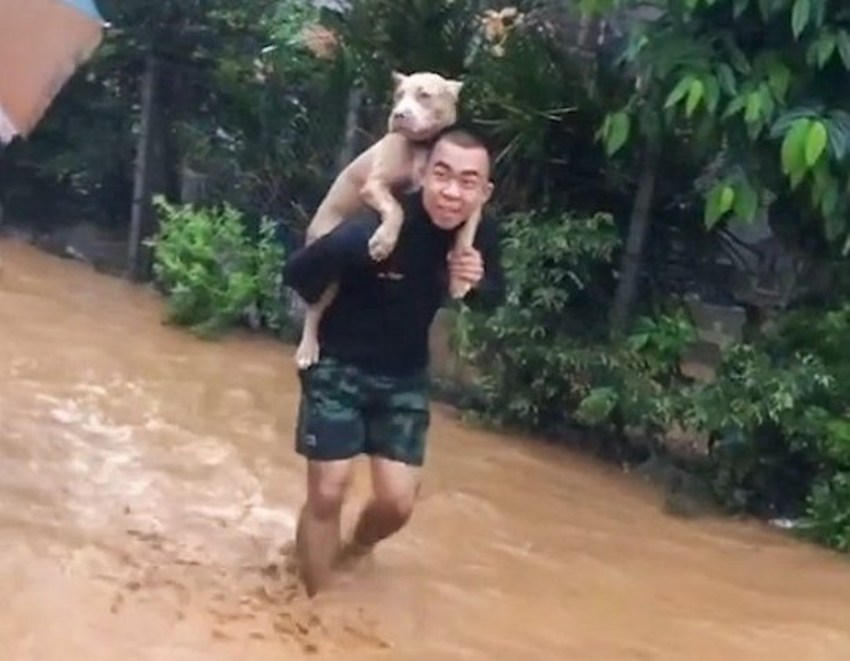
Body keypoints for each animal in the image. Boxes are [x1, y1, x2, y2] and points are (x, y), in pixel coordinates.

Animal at [294, 73, 480, 372]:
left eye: (424, 95)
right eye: (398, 95)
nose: (399, 115)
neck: (421, 146)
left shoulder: (470, 199)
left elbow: (468, 230)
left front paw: (461, 278)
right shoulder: (374, 185)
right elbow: (396, 209)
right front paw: (383, 242)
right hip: (326, 269)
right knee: (314, 310)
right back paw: (307, 350)